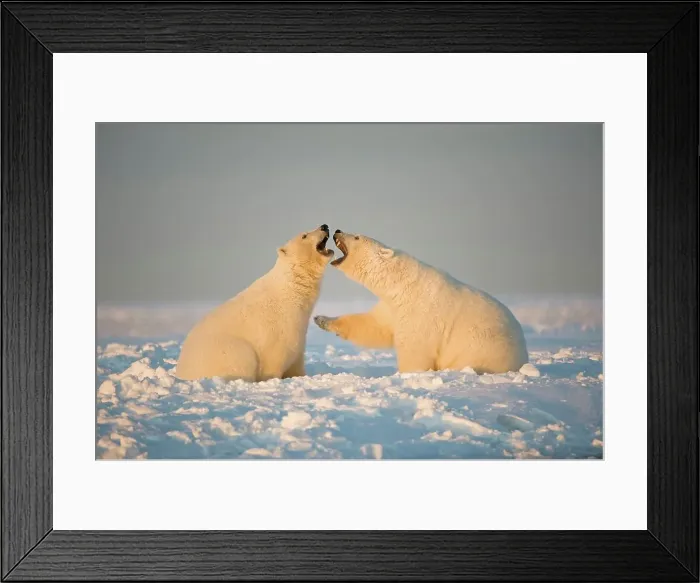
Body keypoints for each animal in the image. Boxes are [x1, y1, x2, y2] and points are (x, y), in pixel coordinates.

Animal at [176, 224, 334, 382]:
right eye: (304, 235)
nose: (324, 226)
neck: (291, 289)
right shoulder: (277, 329)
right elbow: (273, 360)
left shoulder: (299, 334)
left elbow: (296, 364)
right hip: (227, 350)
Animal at [314, 229, 528, 375]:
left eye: (357, 236)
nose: (337, 230)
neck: (403, 283)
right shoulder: (392, 306)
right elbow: (375, 326)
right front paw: (321, 319)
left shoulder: (422, 312)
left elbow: (415, 349)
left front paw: (407, 374)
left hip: (484, 351)